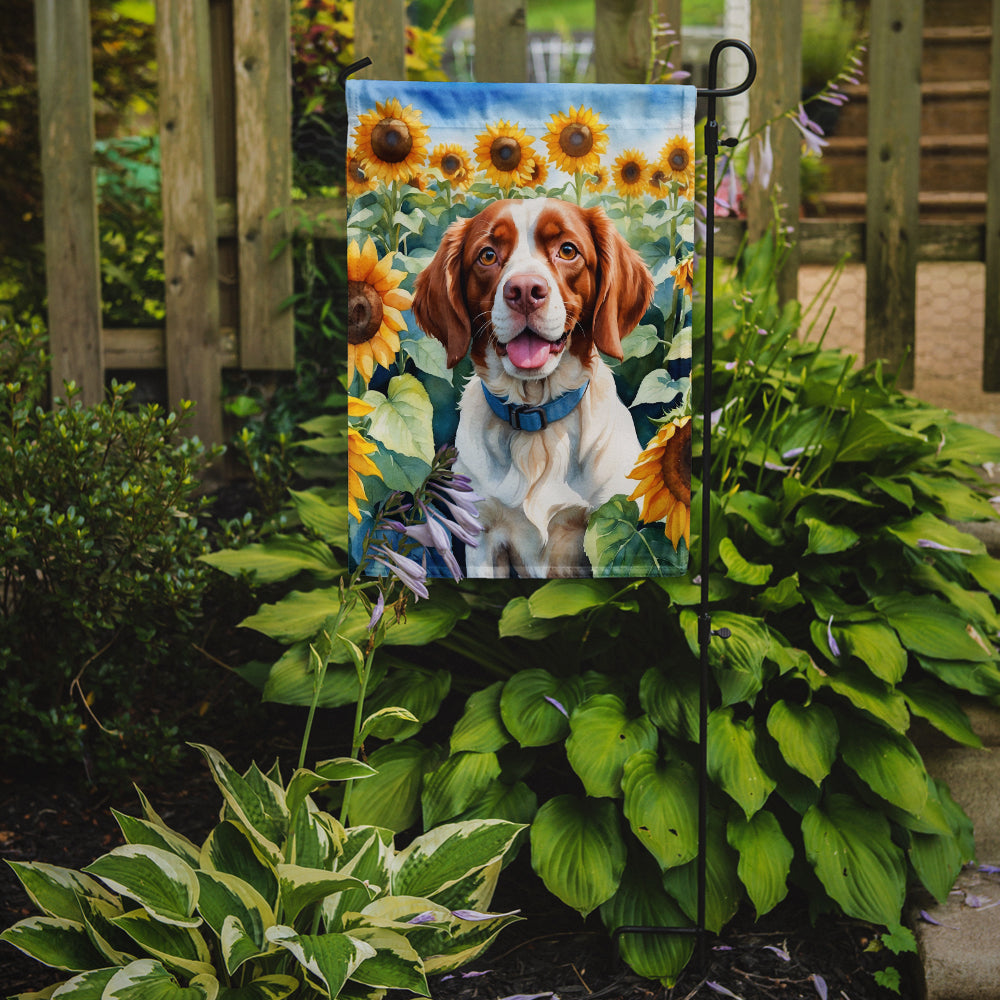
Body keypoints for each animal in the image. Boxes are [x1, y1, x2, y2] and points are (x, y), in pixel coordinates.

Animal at [414, 197, 656, 580]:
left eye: (568, 250)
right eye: (487, 255)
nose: (525, 291)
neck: (536, 423)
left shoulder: (608, 525)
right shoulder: (482, 540)